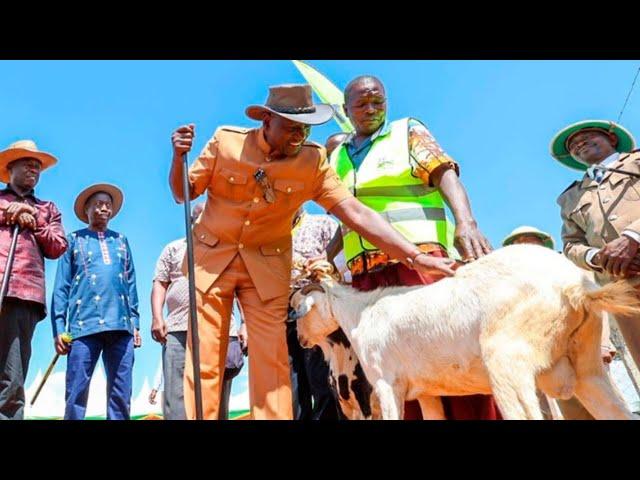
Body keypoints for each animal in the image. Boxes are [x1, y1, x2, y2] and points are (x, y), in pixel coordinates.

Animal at [292, 246, 640, 418]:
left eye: (298, 310)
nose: (299, 339)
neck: (360, 313)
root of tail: (574, 288)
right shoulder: (427, 391)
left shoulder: (385, 384)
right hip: (588, 366)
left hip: (507, 364)